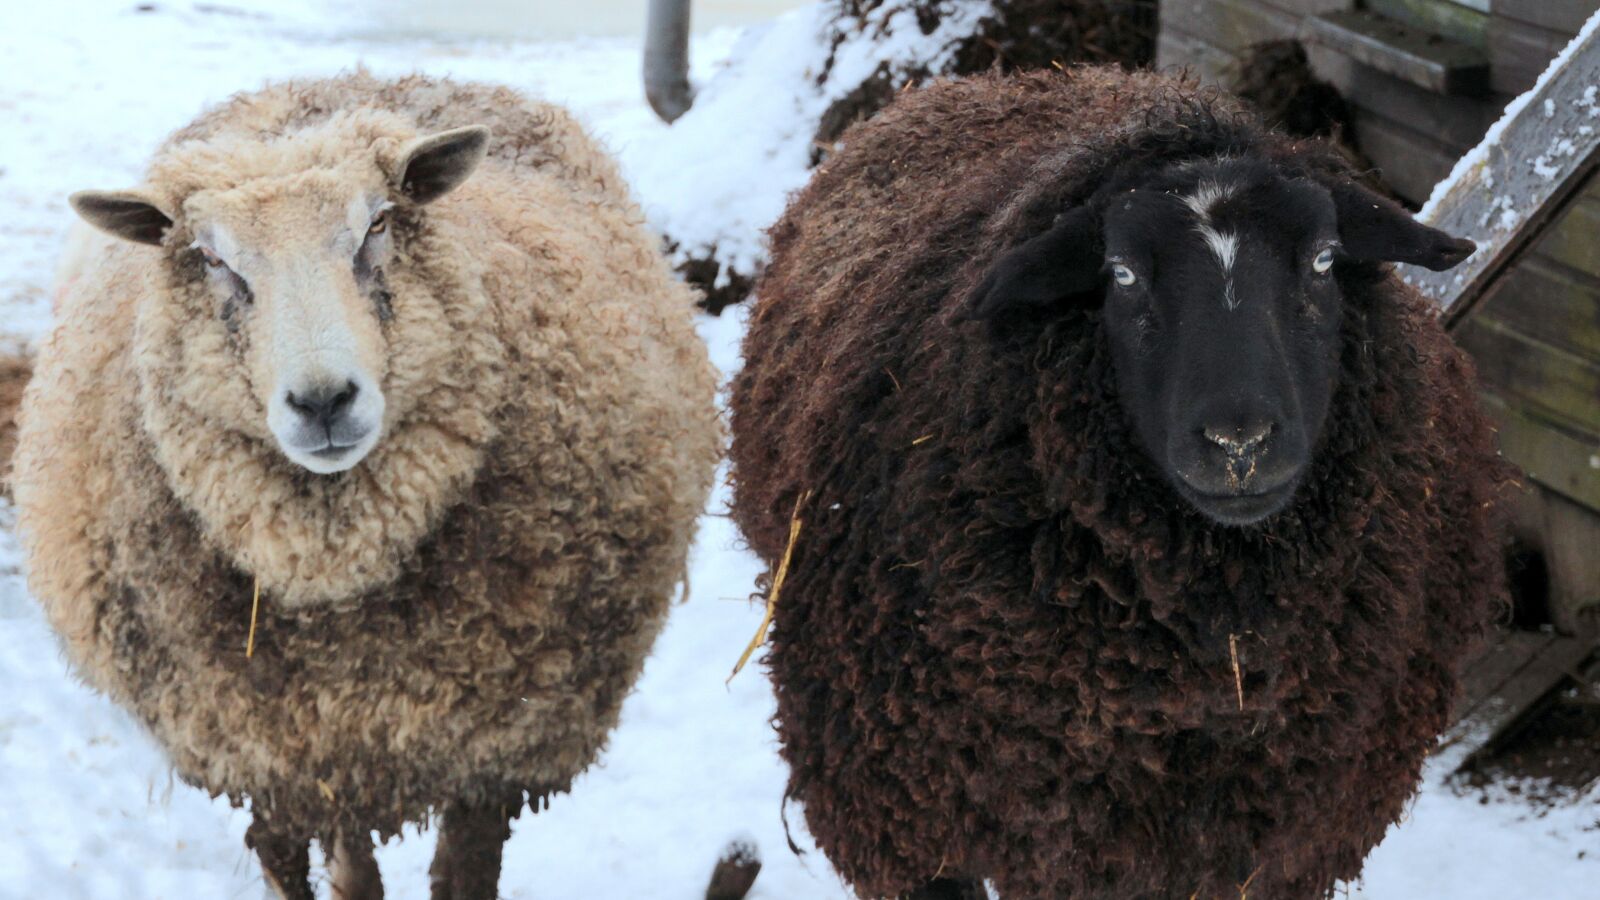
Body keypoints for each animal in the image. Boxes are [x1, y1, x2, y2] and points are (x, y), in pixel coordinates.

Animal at [13, 71, 720, 900]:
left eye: (378, 223)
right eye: (211, 257)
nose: (323, 401)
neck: (333, 572)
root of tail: (361, 77)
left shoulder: (497, 753)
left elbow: (463, 879)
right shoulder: (285, 761)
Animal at [727, 67, 1510, 899]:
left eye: (1326, 259)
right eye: (1123, 274)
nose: (1239, 441)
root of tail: (982, 82)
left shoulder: (1282, 844)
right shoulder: (906, 822)